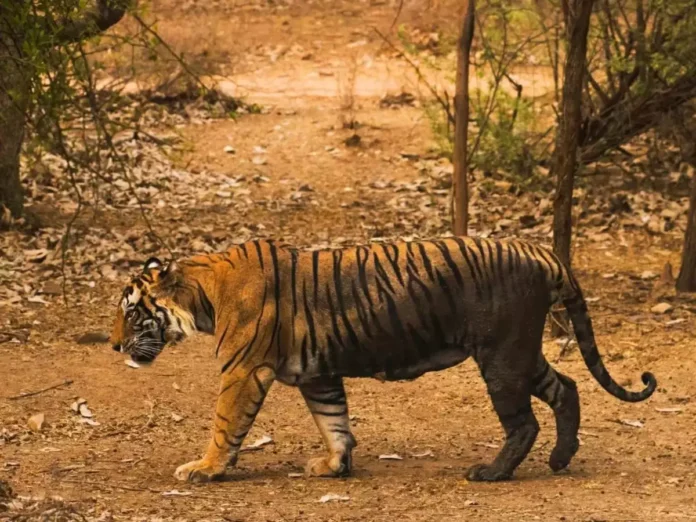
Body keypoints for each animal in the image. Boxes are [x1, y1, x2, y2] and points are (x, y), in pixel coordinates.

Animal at [110, 235, 656, 480]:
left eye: (132, 313)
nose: (114, 346)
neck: (203, 294)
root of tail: (543, 251)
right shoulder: (317, 373)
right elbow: (334, 420)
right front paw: (334, 464)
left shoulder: (243, 370)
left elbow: (225, 424)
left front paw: (204, 468)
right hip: (521, 353)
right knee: (567, 388)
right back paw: (562, 459)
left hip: (502, 357)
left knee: (524, 422)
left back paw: (491, 472)